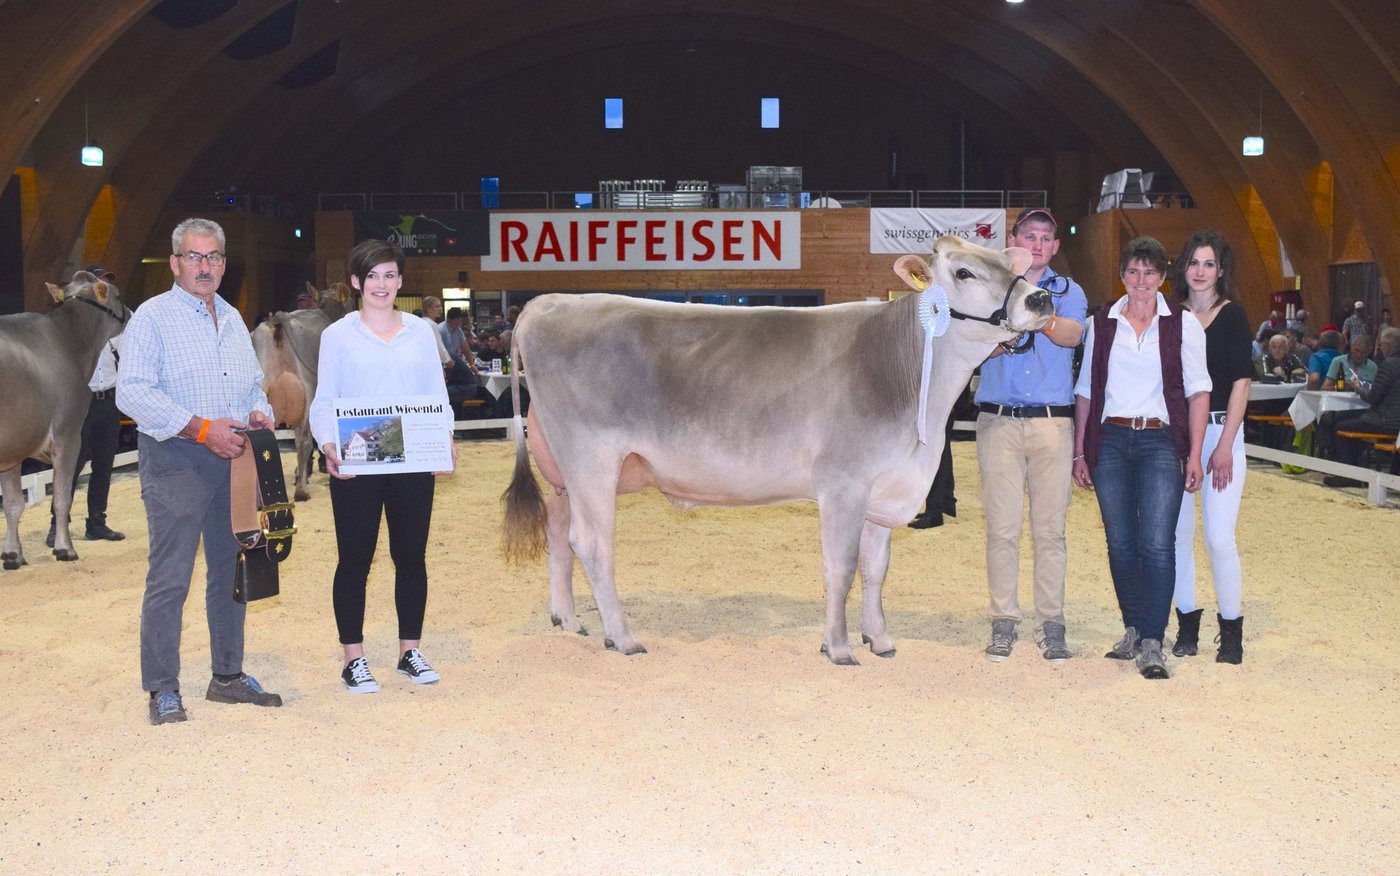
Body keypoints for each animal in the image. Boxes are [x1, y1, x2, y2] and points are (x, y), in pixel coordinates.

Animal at [0, 272, 129, 569]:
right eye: (117, 295)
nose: (130, 312)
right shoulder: (68, 435)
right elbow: (62, 496)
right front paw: (65, 549)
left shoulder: (14, 448)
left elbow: (13, 504)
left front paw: (13, 555)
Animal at [502, 235, 1053, 664]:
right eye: (964, 271)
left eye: (1011, 267)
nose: (1042, 299)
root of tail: (546, 302)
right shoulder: (842, 484)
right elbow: (841, 567)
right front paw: (838, 647)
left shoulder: (885, 487)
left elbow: (875, 570)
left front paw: (879, 639)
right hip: (591, 459)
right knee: (592, 543)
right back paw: (623, 637)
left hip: (561, 467)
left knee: (558, 534)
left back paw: (569, 620)